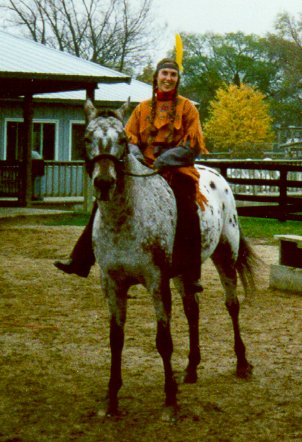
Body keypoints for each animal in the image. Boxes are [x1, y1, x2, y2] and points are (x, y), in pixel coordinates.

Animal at [83, 99, 258, 422]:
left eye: (122, 140)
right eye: (87, 138)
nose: (104, 182)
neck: (126, 219)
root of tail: (217, 176)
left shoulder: (157, 282)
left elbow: (163, 341)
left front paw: (170, 401)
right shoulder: (112, 283)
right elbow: (116, 339)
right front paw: (111, 399)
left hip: (225, 256)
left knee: (232, 306)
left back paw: (242, 363)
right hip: (183, 273)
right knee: (193, 310)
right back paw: (191, 368)